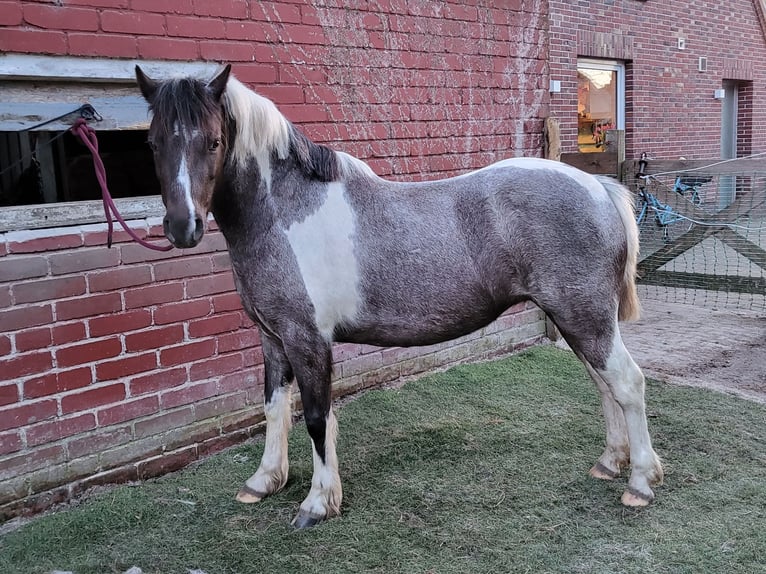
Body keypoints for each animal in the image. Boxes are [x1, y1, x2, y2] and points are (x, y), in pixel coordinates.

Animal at [135, 64, 663, 528]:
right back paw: (610, 462)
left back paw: (639, 483)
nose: (182, 226)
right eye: (153, 143)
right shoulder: (273, 338)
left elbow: (316, 418)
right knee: (603, 385)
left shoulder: (308, 341)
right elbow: (273, 408)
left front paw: (318, 503)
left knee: (627, 383)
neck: (285, 213)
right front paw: (265, 480)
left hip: (586, 318)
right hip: (580, 321)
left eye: (213, 141)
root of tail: (596, 185)